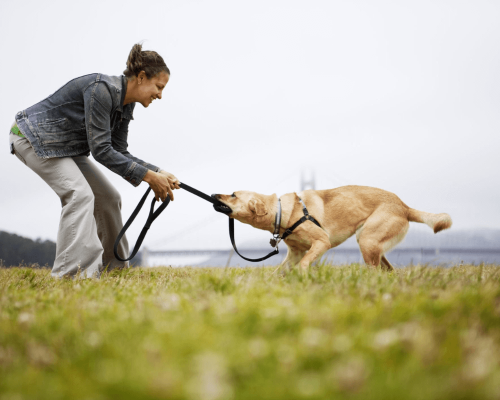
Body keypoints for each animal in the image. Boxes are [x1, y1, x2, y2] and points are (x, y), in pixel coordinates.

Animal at [212, 187, 454, 272]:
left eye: (233, 194)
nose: (213, 194)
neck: (283, 212)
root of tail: (404, 206)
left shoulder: (321, 243)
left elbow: (305, 263)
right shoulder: (294, 253)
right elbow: (279, 272)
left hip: (366, 240)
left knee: (376, 270)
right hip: (371, 242)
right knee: (388, 270)